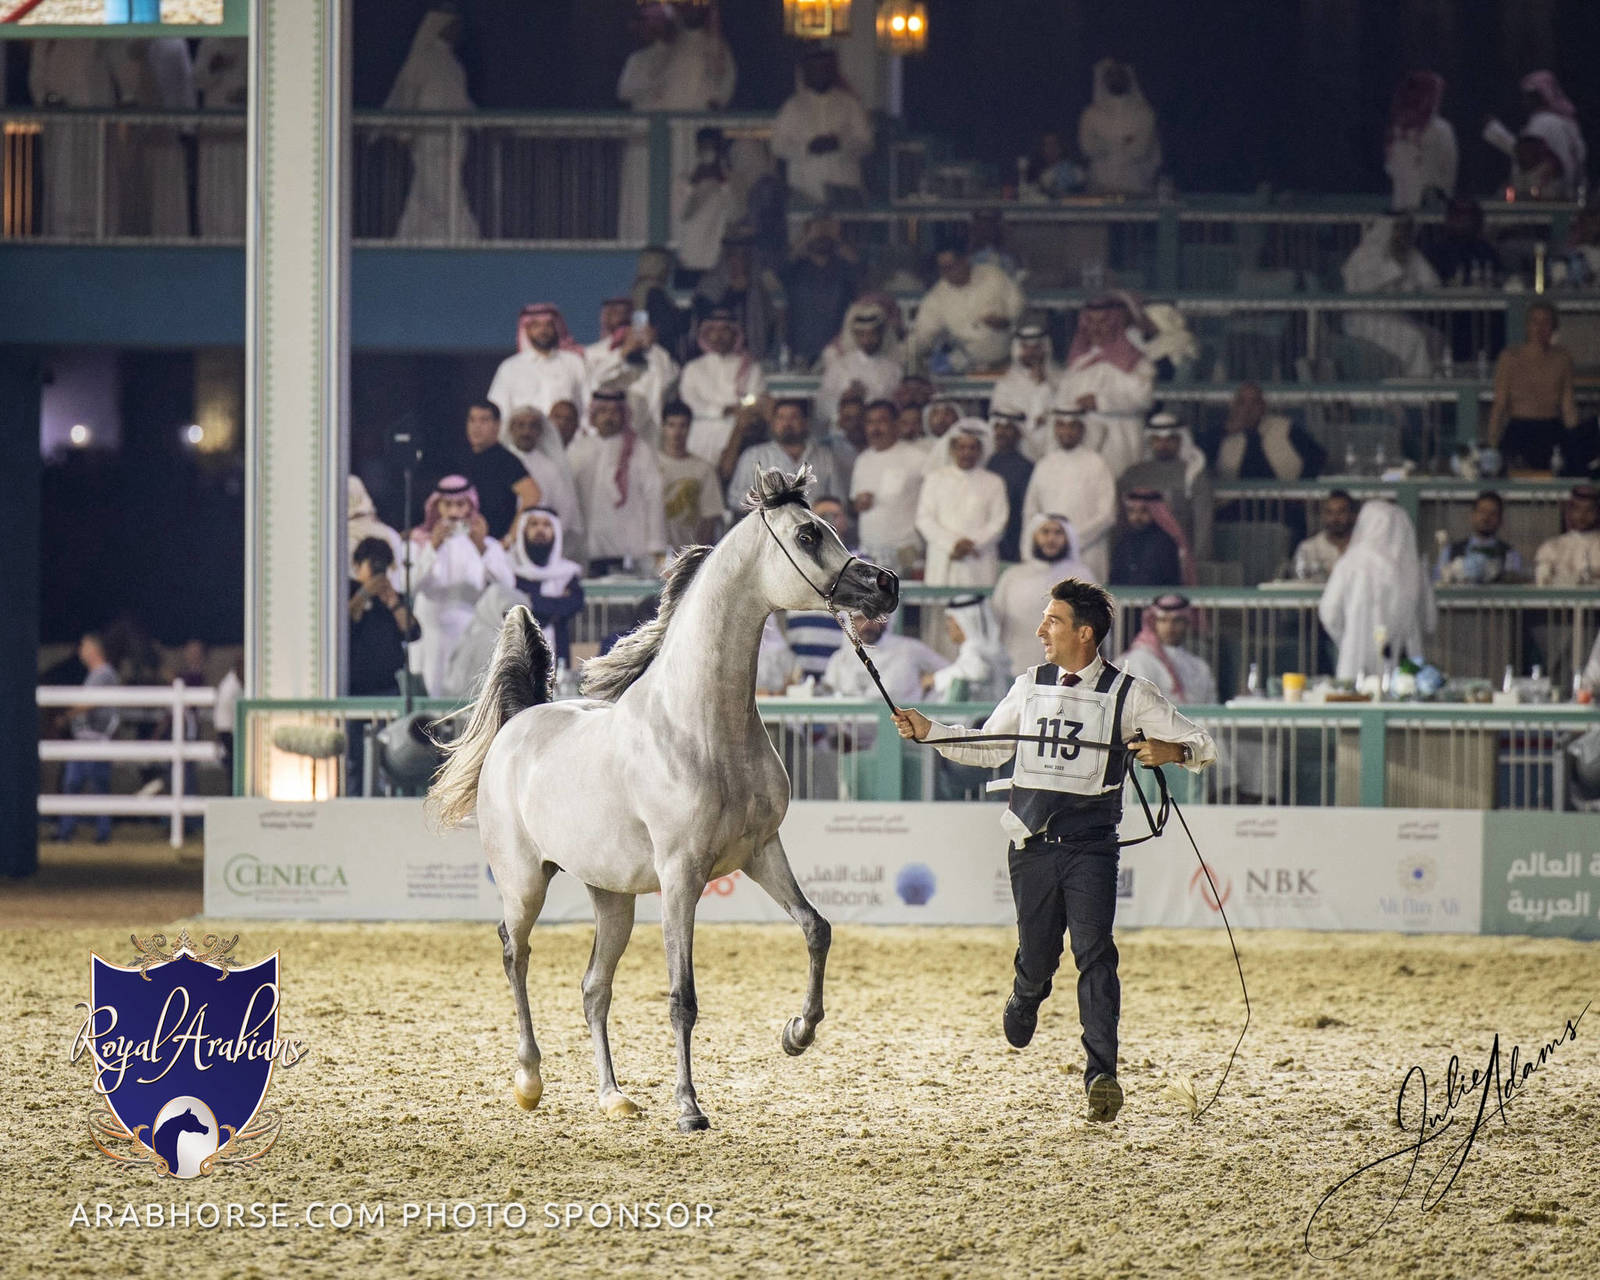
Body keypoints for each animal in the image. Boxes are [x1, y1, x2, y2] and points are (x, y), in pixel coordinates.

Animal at [426, 467, 899, 1131]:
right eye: (808, 535)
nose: (887, 586)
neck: (698, 726)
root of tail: (517, 725)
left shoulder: (761, 852)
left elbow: (816, 928)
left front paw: (797, 1033)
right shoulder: (681, 877)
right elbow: (682, 998)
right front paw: (689, 1108)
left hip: (613, 898)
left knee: (594, 988)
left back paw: (614, 1096)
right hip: (524, 883)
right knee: (514, 954)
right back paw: (528, 1080)